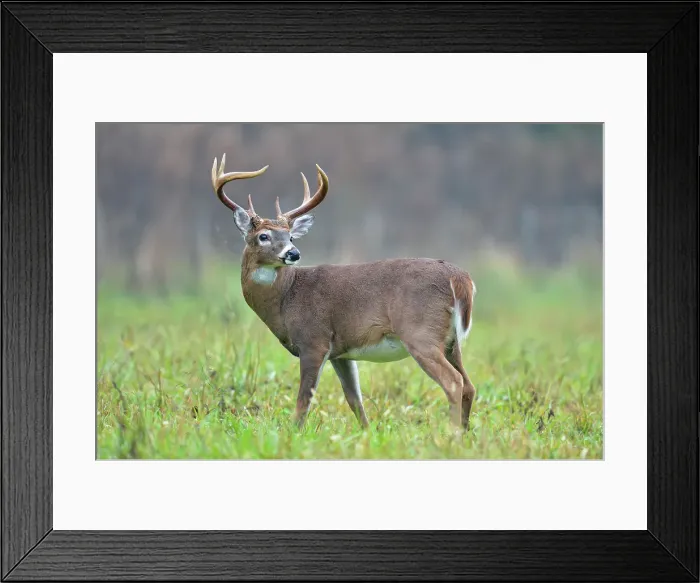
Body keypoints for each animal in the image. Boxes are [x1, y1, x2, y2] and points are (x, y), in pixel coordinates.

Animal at [211, 154, 477, 431]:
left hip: (420, 332)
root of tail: (460, 278)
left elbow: (304, 401)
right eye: (263, 236)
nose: (293, 253)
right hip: (451, 341)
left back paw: (452, 433)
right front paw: (367, 433)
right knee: (469, 386)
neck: (286, 300)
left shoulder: (313, 340)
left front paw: (293, 433)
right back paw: (464, 432)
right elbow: (354, 400)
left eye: (291, 237)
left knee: (453, 382)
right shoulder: (341, 352)